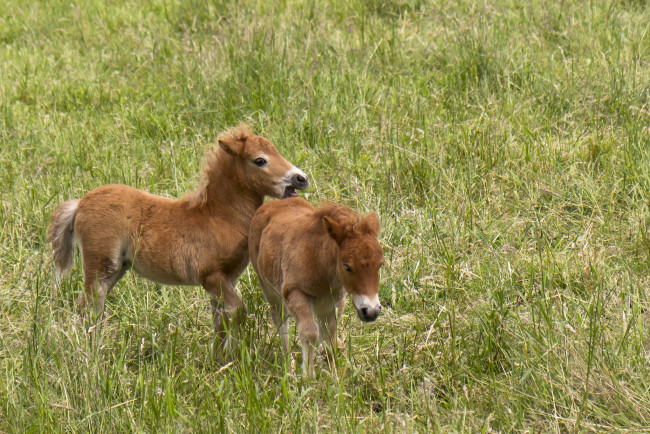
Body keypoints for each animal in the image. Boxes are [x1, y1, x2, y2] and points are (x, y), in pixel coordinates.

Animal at [48, 124, 306, 346]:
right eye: (260, 160)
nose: (301, 178)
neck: (219, 216)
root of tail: (80, 204)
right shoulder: (211, 276)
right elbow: (237, 312)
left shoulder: (225, 281)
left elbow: (220, 321)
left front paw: (218, 360)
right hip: (100, 265)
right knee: (90, 307)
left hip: (116, 269)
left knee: (88, 306)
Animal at [247, 197, 380, 376]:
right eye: (347, 266)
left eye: (380, 264)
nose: (371, 311)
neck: (319, 260)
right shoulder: (295, 293)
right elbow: (309, 334)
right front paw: (308, 378)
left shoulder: (335, 302)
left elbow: (330, 337)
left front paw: (333, 376)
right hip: (270, 291)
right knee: (281, 321)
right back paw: (288, 367)